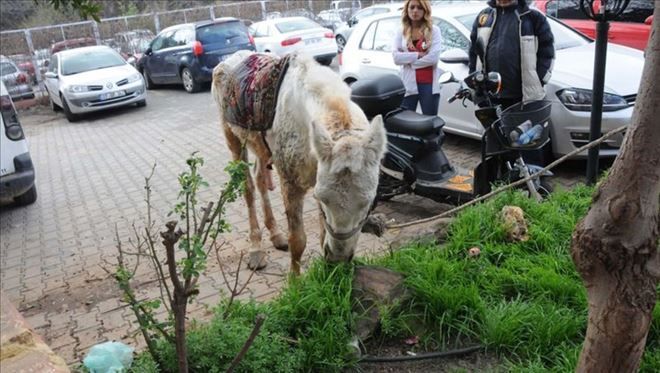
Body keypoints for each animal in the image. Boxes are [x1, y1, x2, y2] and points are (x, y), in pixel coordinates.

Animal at [211, 50, 386, 274]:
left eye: (369, 202)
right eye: (323, 200)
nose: (338, 258)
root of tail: (227, 60)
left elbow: (322, 235)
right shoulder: (291, 184)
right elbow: (298, 241)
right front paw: (295, 281)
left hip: (260, 147)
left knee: (260, 179)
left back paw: (276, 235)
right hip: (233, 140)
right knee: (248, 188)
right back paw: (256, 250)